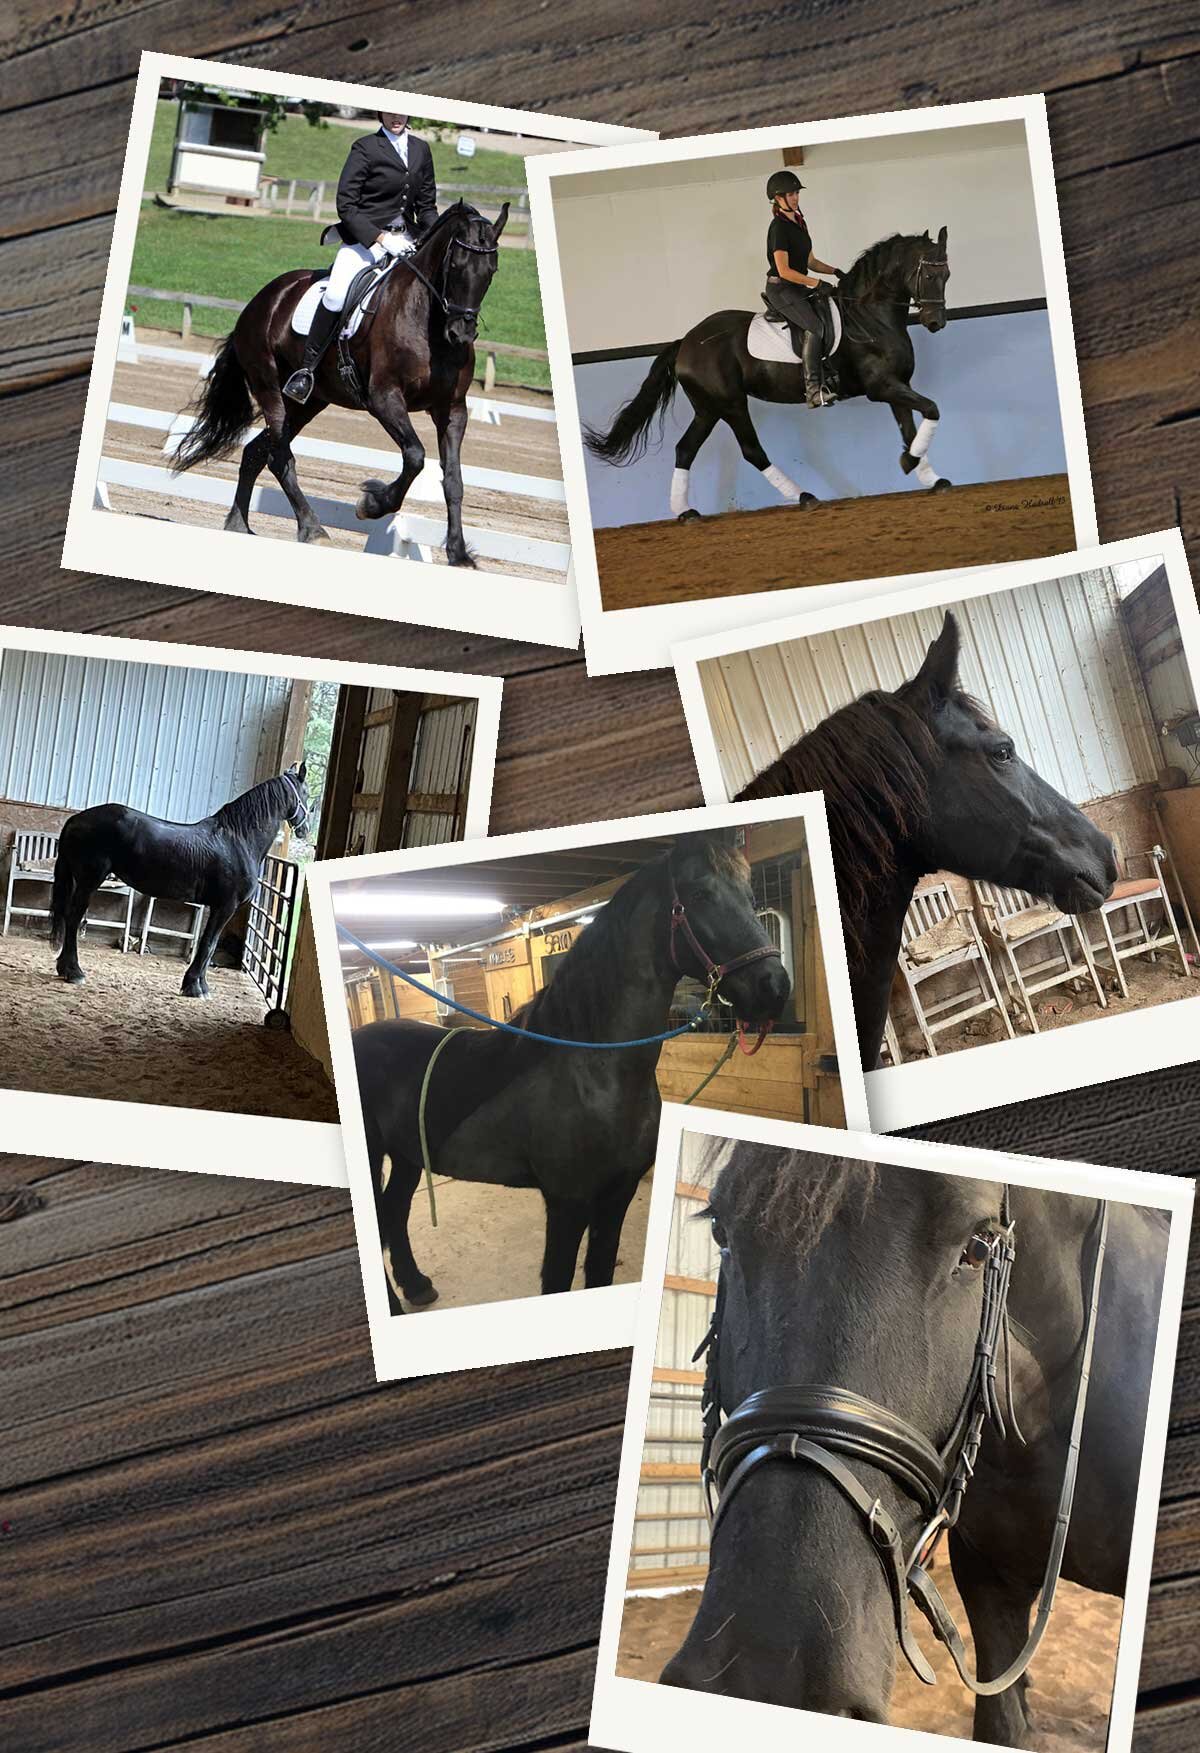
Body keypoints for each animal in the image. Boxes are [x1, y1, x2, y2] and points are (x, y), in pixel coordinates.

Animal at [49, 764, 309, 998]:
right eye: (305, 793)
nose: (305, 829)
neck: (237, 840)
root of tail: (76, 819)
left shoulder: (217, 907)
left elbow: (208, 945)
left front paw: (199, 985)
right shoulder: (225, 906)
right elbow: (209, 944)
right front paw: (195, 987)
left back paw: (64, 968)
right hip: (88, 881)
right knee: (73, 919)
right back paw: (74, 972)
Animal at [170, 201, 508, 566]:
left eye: (491, 270)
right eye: (456, 266)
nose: (461, 334)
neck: (429, 324)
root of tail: (262, 298)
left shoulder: (452, 409)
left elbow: (453, 480)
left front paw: (458, 554)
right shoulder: (384, 398)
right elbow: (416, 456)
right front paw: (371, 504)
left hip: (309, 402)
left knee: (256, 452)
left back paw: (238, 524)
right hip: (269, 386)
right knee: (279, 457)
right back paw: (312, 529)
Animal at [351, 831, 790, 1310]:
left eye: (751, 898)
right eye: (699, 895)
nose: (774, 987)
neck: (594, 1075)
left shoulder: (617, 1195)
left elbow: (599, 1272)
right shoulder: (567, 1203)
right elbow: (558, 1280)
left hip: (408, 1156)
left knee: (395, 1214)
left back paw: (416, 1285)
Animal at [584, 228, 952, 517]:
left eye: (947, 275)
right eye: (929, 276)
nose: (936, 323)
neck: (869, 317)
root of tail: (686, 342)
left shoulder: (897, 385)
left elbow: (910, 429)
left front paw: (926, 474)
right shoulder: (881, 387)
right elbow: (932, 409)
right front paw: (913, 465)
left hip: (708, 408)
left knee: (685, 449)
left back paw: (686, 512)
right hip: (731, 403)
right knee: (751, 450)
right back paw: (804, 497)